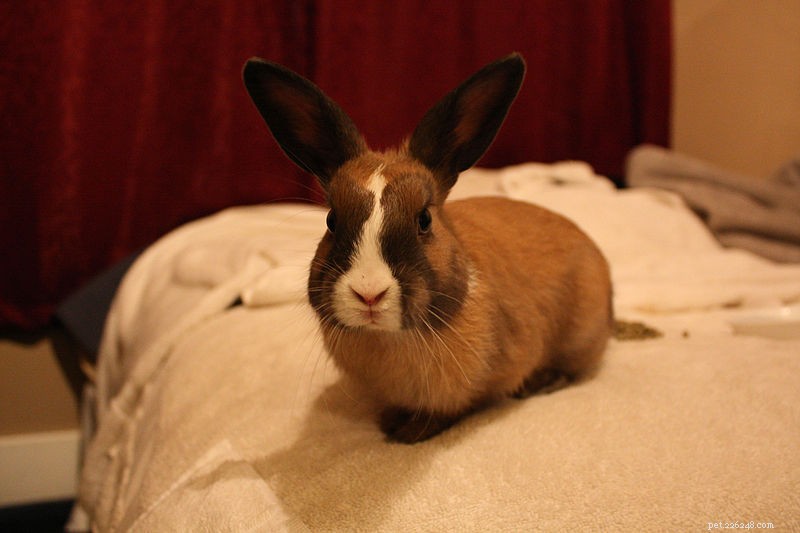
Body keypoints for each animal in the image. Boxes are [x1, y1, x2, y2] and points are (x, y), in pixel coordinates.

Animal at [243, 53, 613, 443]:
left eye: (424, 219)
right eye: (331, 220)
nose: (368, 294)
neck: (388, 340)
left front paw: (408, 432)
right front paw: (392, 423)